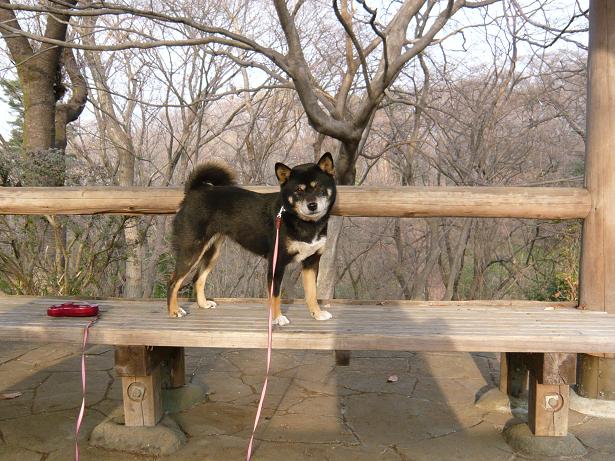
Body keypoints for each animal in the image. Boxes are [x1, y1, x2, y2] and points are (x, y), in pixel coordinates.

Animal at [167, 153, 336, 326]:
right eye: (298, 190)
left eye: (318, 187)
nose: (312, 205)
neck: (304, 223)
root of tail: (194, 191)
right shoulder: (276, 263)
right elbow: (275, 296)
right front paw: (277, 317)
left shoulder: (311, 262)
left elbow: (312, 293)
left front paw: (317, 313)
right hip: (191, 251)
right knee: (173, 282)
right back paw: (174, 311)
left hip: (211, 253)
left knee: (197, 279)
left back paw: (203, 304)